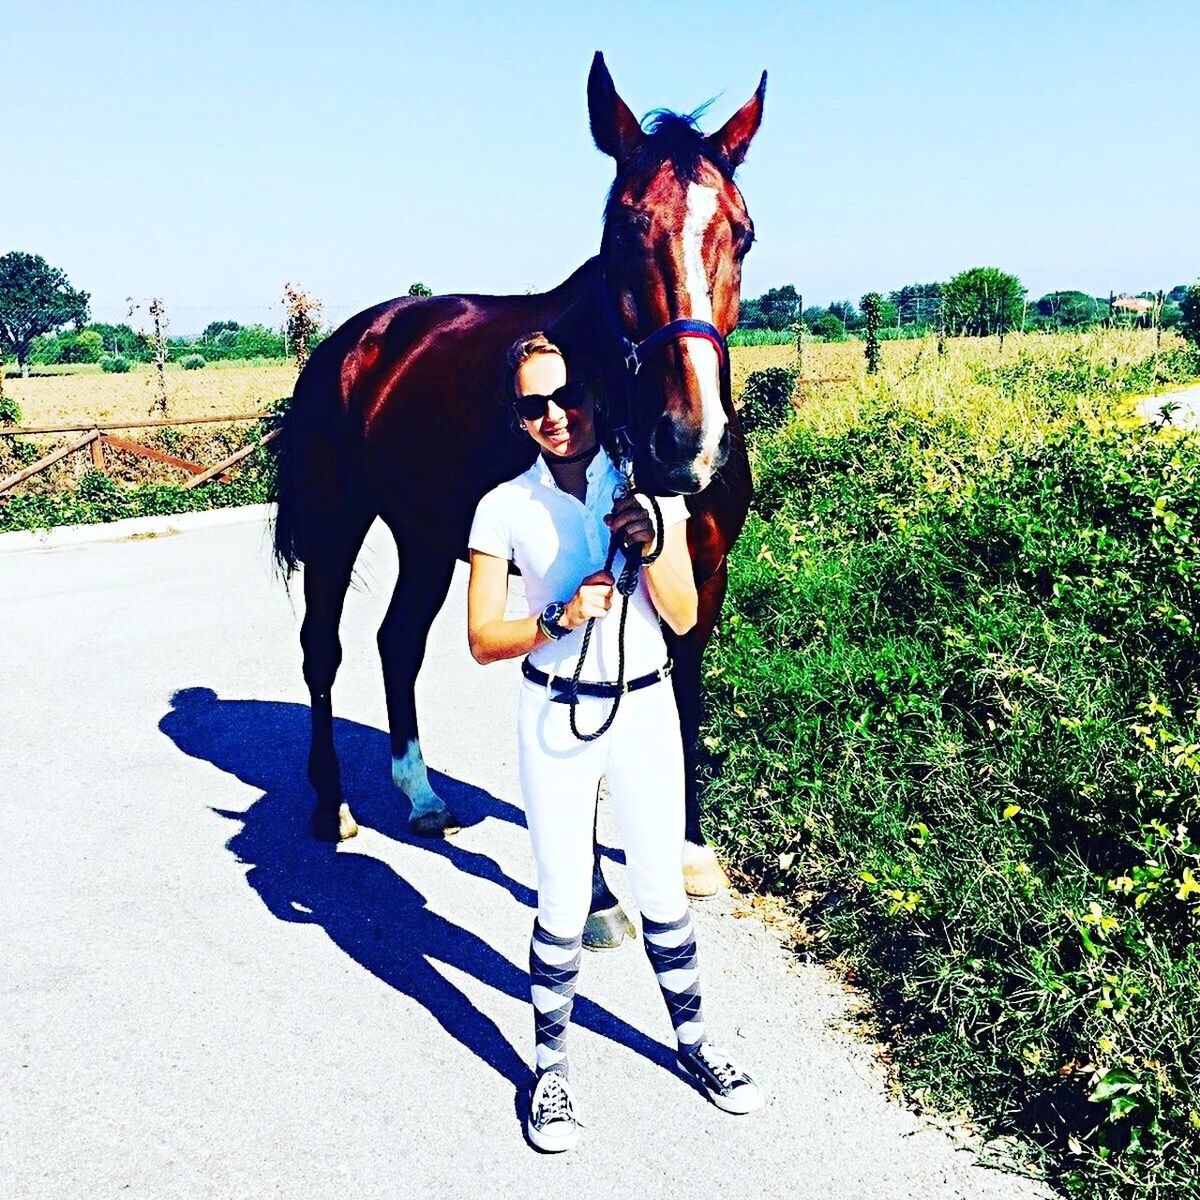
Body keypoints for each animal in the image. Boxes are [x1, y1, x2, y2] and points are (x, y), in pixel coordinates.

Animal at [270, 54, 758, 945]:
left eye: (740, 233)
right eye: (622, 229)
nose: (687, 441)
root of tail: (354, 341)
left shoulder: (705, 574)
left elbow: (686, 695)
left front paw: (690, 853)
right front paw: (595, 893)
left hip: (429, 534)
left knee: (398, 641)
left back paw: (422, 795)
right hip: (336, 525)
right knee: (324, 649)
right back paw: (334, 807)